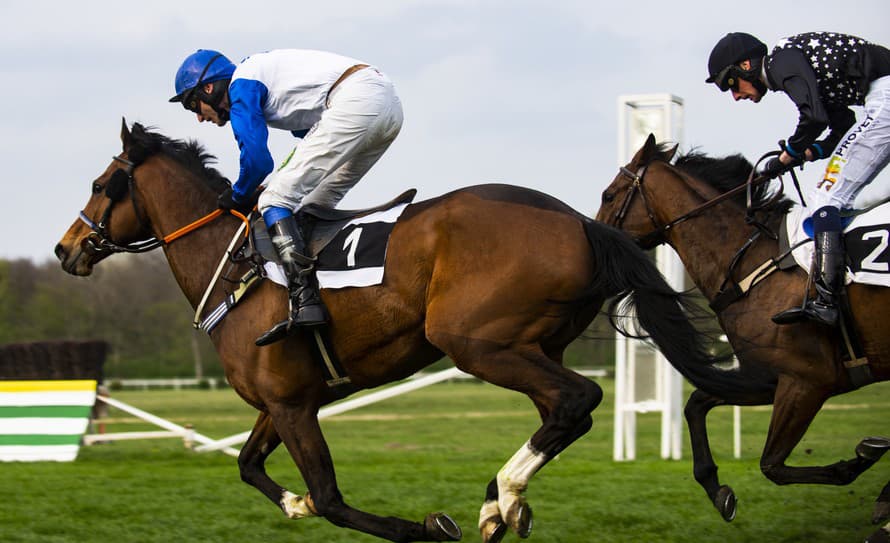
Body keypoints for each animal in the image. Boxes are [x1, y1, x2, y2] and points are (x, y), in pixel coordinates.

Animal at [55, 123, 736, 543]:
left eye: (100, 184)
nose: (67, 248)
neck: (236, 267)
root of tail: (583, 223)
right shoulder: (284, 401)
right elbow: (249, 467)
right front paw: (293, 503)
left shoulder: (293, 404)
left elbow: (330, 498)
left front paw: (423, 526)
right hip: (530, 344)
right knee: (562, 411)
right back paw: (500, 503)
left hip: (478, 342)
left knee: (577, 399)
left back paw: (502, 494)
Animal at [592, 135, 888, 528]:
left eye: (609, 195)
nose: (593, 244)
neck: (752, 262)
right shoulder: (765, 376)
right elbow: (695, 405)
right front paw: (717, 489)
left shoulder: (807, 382)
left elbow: (772, 465)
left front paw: (863, 464)